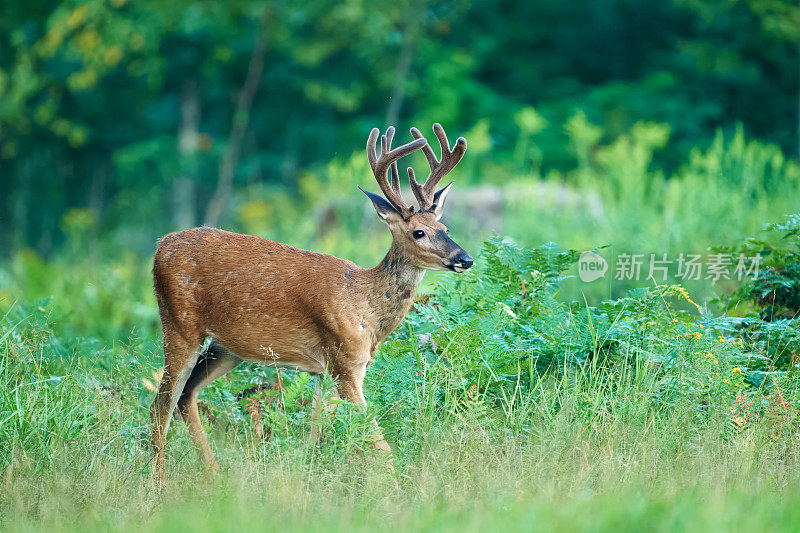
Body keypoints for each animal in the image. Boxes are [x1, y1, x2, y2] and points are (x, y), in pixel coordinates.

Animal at [149, 123, 472, 478]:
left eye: (445, 227)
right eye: (418, 232)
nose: (465, 259)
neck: (366, 310)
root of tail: (160, 247)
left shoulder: (326, 370)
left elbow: (320, 433)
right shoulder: (344, 361)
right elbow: (373, 436)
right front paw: (396, 484)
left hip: (226, 346)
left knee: (185, 395)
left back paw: (212, 472)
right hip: (178, 324)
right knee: (160, 403)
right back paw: (158, 480)